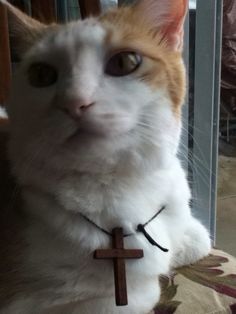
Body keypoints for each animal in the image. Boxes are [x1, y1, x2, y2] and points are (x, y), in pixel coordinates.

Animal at [0, 0, 210, 314]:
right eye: (41, 75)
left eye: (125, 62)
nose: (74, 101)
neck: (121, 184)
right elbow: (139, 294)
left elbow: (199, 239)